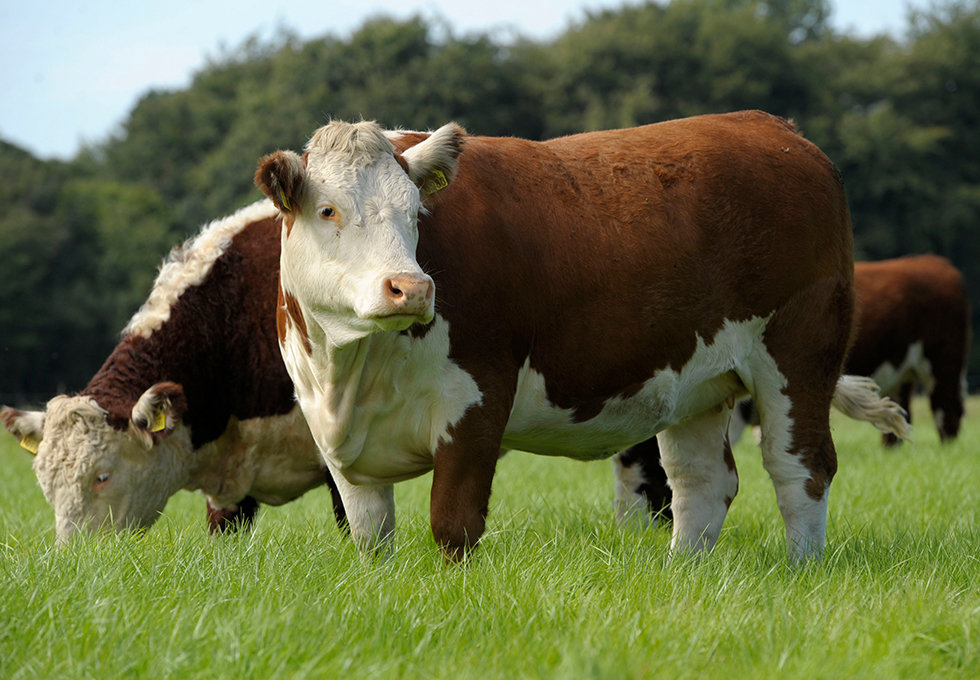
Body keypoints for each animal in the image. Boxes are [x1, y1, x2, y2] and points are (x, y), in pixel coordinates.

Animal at [255, 113, 912, 564]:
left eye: (417, 213)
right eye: (328, 211)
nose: (411, 288)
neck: (352, 369)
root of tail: (775, 129)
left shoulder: (477, 402)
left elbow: (454, 525)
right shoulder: (335, 436)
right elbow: (370, 538)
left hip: (800, 352)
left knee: (800, 466)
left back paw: (802, 567)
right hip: (698, 382)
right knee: (702, 481)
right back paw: (683, 572)